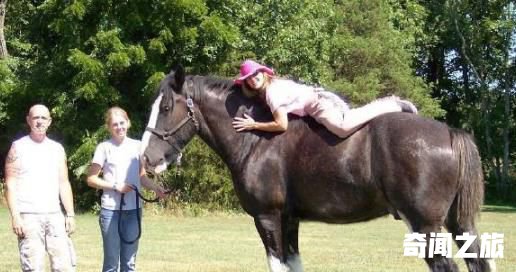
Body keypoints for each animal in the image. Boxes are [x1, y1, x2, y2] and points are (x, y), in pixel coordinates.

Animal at [139, 66, 494, 272]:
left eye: (166, 107)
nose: (147, 159)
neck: (257, 141)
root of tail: (450, 133)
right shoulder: (290, 219)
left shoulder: (267, 217)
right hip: (458, 223)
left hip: (426, 225)